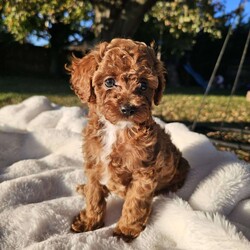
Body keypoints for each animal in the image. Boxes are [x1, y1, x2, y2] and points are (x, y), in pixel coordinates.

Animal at [68, 38, 189, 241]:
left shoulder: (143, 174)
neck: (117, 129)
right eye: (109, 82)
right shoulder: (94, 164)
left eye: (143, 85)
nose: (128, 108)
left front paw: (126, 229)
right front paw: (89, 221)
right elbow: (94, 196)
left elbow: (135, 203)